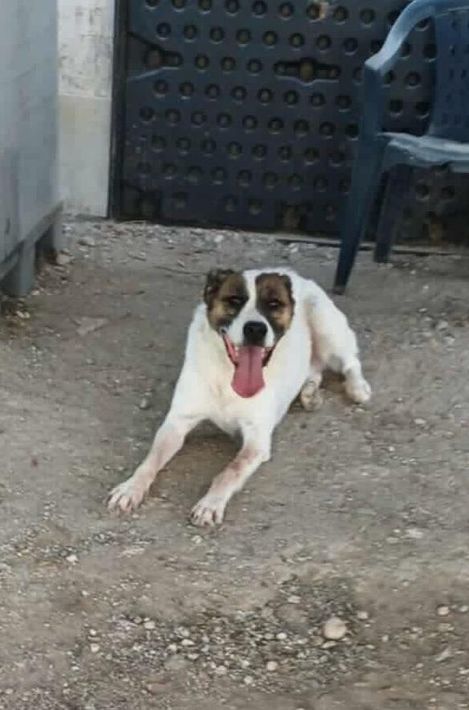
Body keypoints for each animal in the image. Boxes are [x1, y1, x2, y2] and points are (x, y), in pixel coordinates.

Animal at [108, 267, 371, 526]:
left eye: (273, 303)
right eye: (234, 300)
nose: (255, 329)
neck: (229, 377)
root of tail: (294, 273)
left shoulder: (257, 441)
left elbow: (231, 470)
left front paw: (210, 503)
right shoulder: (177, 422)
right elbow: (151, 459)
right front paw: (130, 488)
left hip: (327, 329)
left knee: (350, 361)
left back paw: (357, 388)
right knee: (314, 369)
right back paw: (309, 394)